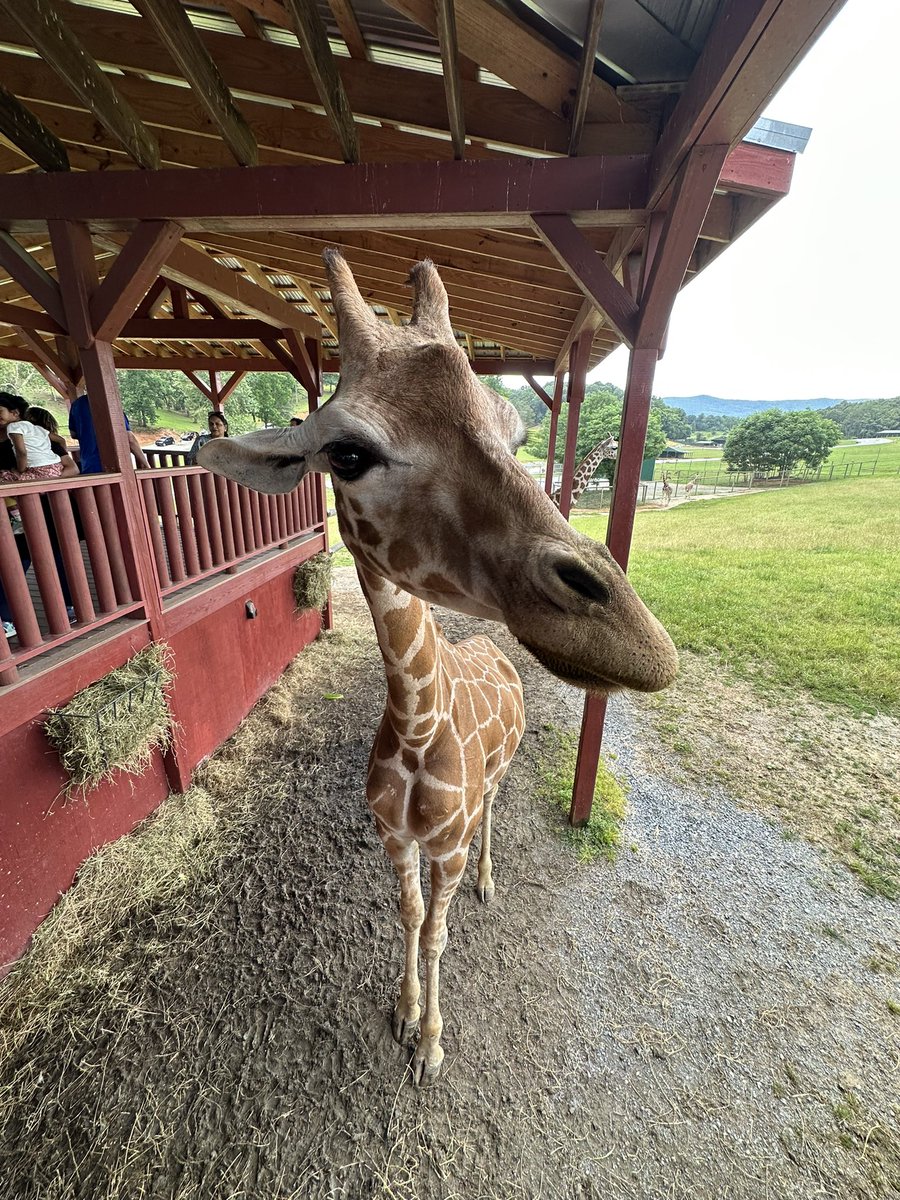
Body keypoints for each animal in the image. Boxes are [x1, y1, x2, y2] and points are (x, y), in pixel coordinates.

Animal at [199, 250, 678, 1083]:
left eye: (515, 431)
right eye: (348, 453)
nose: (630, 637)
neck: (420, 724)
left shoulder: (444, 845)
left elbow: (439, 931)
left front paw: (430, 1045)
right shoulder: (394, 839)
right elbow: (411, 915)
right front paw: (403, 1012)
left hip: (498, 781)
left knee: (491, 815)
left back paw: (490, 882)